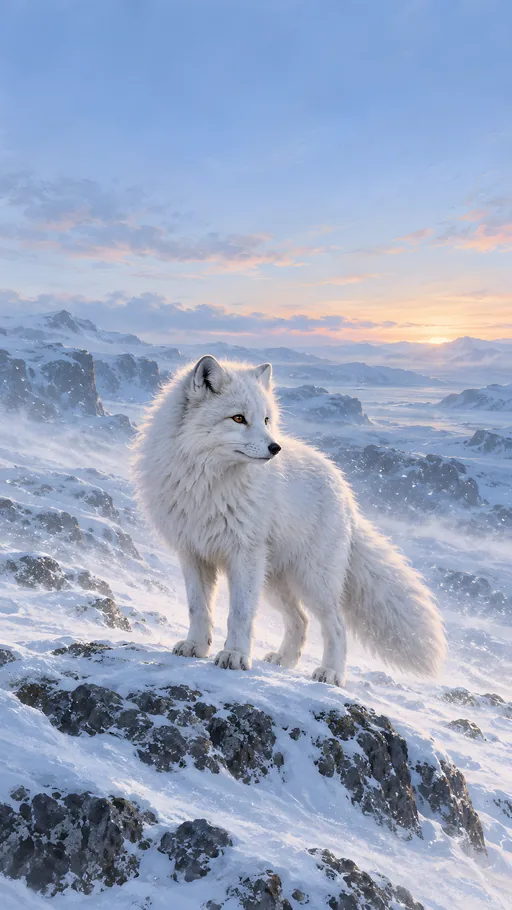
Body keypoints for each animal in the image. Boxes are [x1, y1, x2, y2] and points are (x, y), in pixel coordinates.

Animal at [133, 355, 446, 686]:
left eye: (266, 419)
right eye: (238, 418)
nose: (275, 448)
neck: (208, 483)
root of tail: (347, 495)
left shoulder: (244, 554)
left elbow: (240, 614)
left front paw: (235, 656)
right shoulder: (192, 553)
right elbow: (198, 608)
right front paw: (195, 646)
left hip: (311, 580)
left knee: (336, 626)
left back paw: (331, 673)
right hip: (274, 580)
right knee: (301, 619)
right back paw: (285, 660)